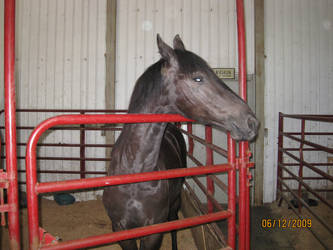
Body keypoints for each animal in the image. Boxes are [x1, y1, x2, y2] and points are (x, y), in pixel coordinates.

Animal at [102, 35, 258, 250]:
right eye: (198, 78)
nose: (252, 122)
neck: (134, 174)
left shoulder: (153, 231)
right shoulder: (121, 230)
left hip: (175, 201)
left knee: (174, 221)